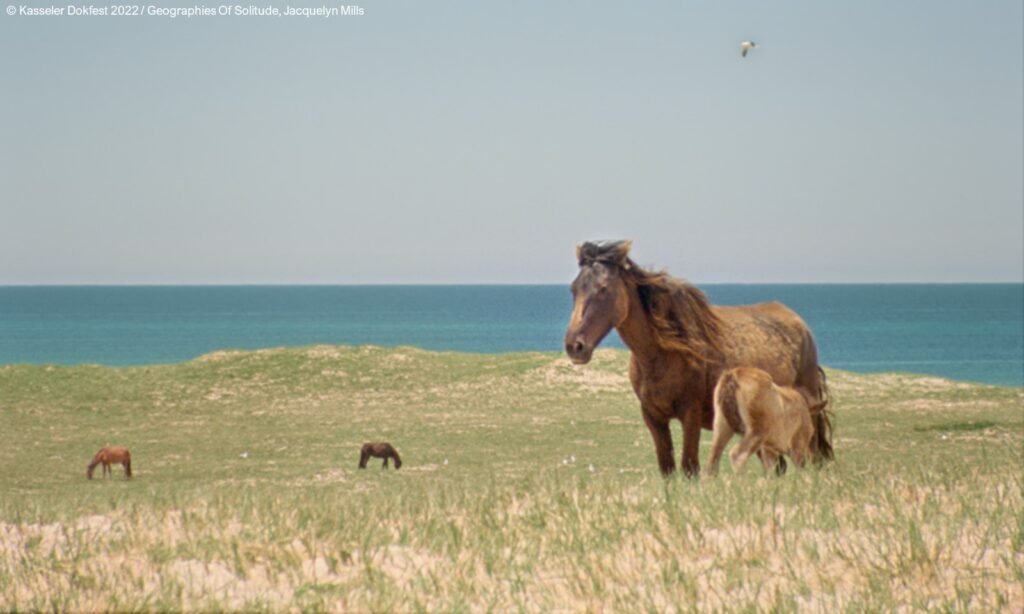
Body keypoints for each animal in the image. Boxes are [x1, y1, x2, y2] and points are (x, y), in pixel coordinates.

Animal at [565, 239, 835, 474]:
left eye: (603, 288)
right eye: (574, 288)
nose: (574, 346)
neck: (662, 356)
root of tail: (799, 324)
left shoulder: (690, 416)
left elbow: (689, 467)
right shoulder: (653, 418)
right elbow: (667, 468)